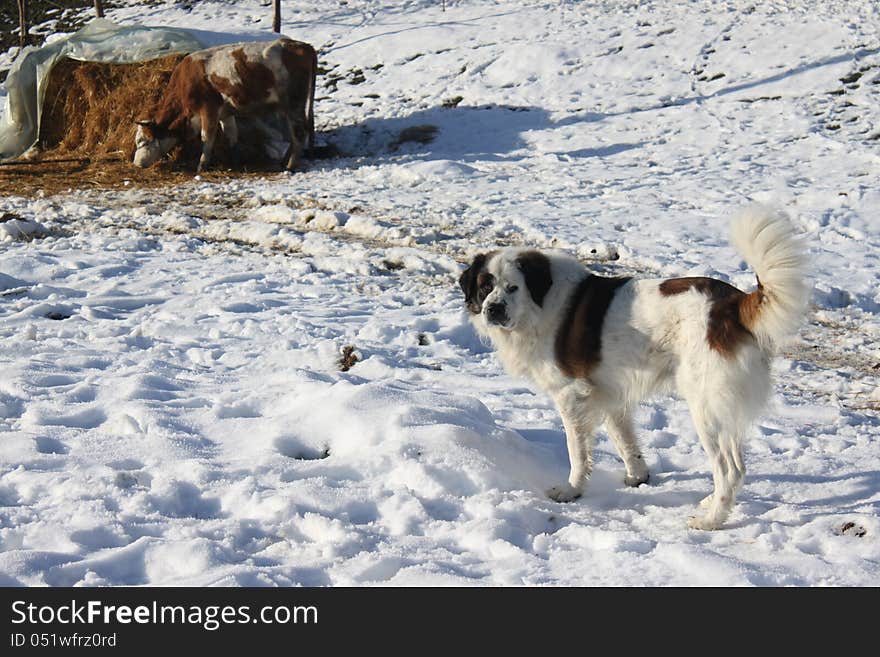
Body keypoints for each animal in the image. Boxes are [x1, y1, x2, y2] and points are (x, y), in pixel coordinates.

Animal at [133, 37, 316, 172]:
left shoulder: (208, 109)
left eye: (142, 141)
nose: (136, 163)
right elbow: (231, 135)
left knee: (299, 132)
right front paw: (233, 160)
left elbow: (207, 137)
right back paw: (285, 161)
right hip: (290, 107)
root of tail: (301, 45)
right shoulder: (225, 113)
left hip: (294, 102)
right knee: (297, 131)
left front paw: (201, 166)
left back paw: (290, 166)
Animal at [460, 205, 812, 528]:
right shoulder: (610, 393)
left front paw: (573, 490)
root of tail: (733, 305)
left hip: (706, 408)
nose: (493, 309)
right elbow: (624, 439)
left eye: (513, 288)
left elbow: (577, 451)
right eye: (484, 287)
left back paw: (712, 519)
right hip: (723, 408)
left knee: (730, 469)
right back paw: (712, 502)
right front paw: (637, 476)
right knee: (735, 466)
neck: (542, 301)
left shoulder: (572, 397)